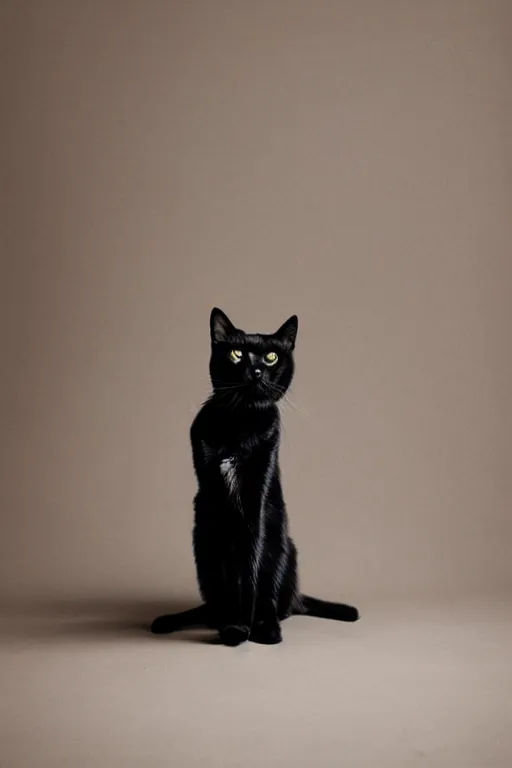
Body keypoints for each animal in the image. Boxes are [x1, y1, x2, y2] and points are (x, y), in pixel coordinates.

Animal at [150, 308, 358, 644]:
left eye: (271, 357)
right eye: (237, 354)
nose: (257, 371)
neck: (240, 421)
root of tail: (296, 595)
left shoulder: (255, 497)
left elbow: (249, 567)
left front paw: (241, 626)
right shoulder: (214, 500)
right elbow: (230, 574)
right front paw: (233, 626)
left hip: (282, 546)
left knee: (273, 599)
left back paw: (266, 626)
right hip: (200, 538)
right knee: (211, 601)